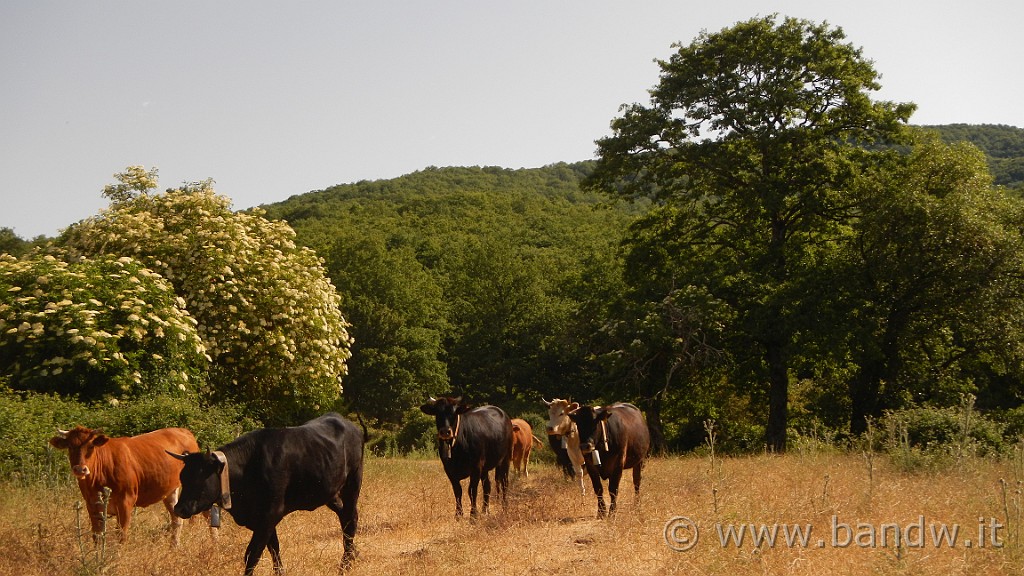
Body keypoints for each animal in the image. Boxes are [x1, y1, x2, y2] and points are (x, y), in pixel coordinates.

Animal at [48, 422, 199, 541]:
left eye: (91, 446)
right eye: (70, 446)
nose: (80, 469)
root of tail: (184, 431)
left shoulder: (126, 502)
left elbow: (121, 535)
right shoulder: (91, 505)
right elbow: (97, 535)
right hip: (170, 491)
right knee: (177, 520)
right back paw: (174, 545)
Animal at [166, 409, 360, 569]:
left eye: (200, 479)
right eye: (182, 478)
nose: (179, 508)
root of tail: (345, 422)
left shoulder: (269, 515)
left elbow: (252, 556)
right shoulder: (261, 520)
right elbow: (274, 549)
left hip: (352, 484)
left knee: (351, 519)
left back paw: (345, 565)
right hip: (330, 492)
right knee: (344, 517)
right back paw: (352, 555)